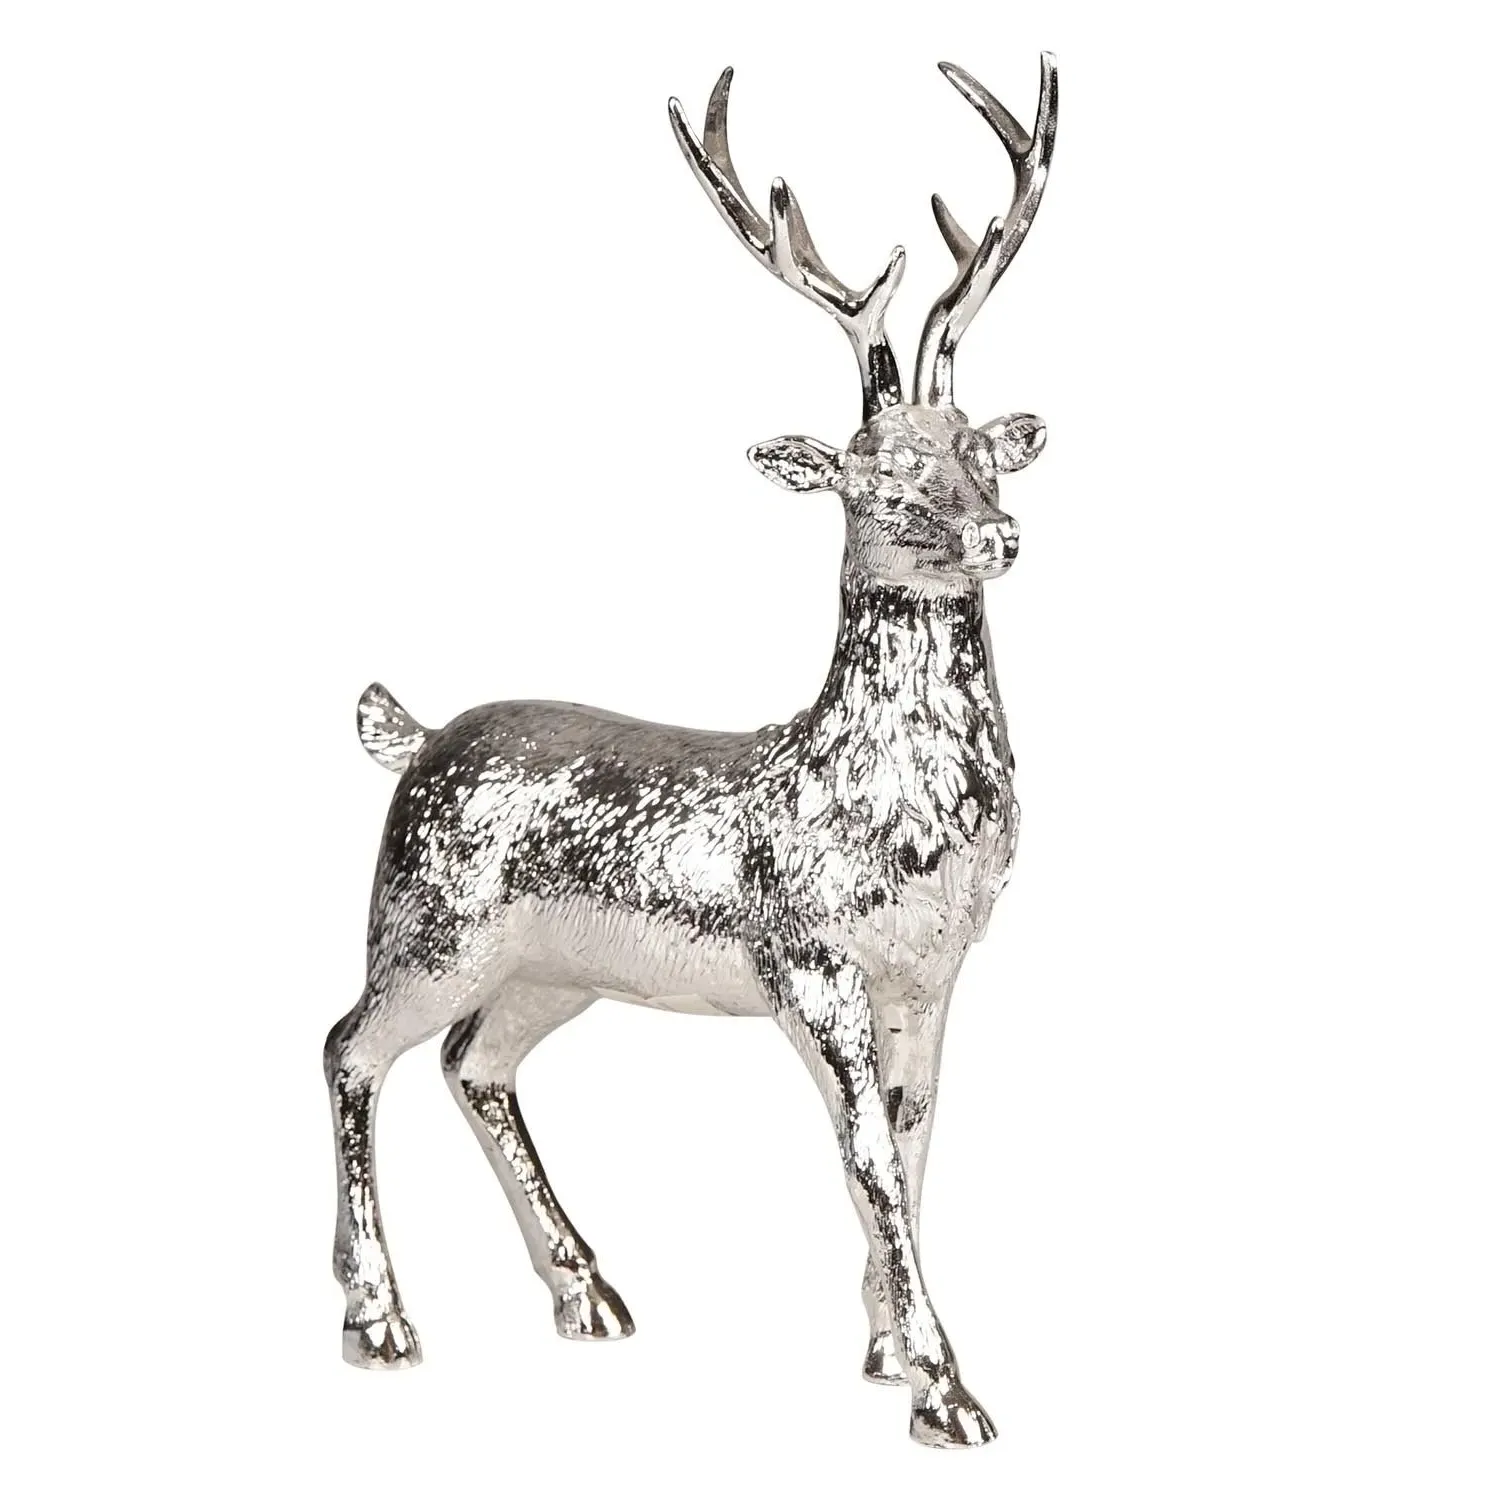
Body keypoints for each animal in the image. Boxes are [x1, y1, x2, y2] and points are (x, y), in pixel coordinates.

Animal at [324, 54, 1057, 1448]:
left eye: (985, 451)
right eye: (876, 476)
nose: (997, 536)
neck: (877, 809)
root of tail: (417, 738)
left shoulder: (934, 971)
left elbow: (915, 1139)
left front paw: (886, 1345)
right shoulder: (810, 959)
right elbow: (865, 1155)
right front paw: (947, 1389)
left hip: (553, 968)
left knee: (471, 1063)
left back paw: (587, 1291)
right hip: (428, 923)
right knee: (350, 1047)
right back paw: (378, 1320)